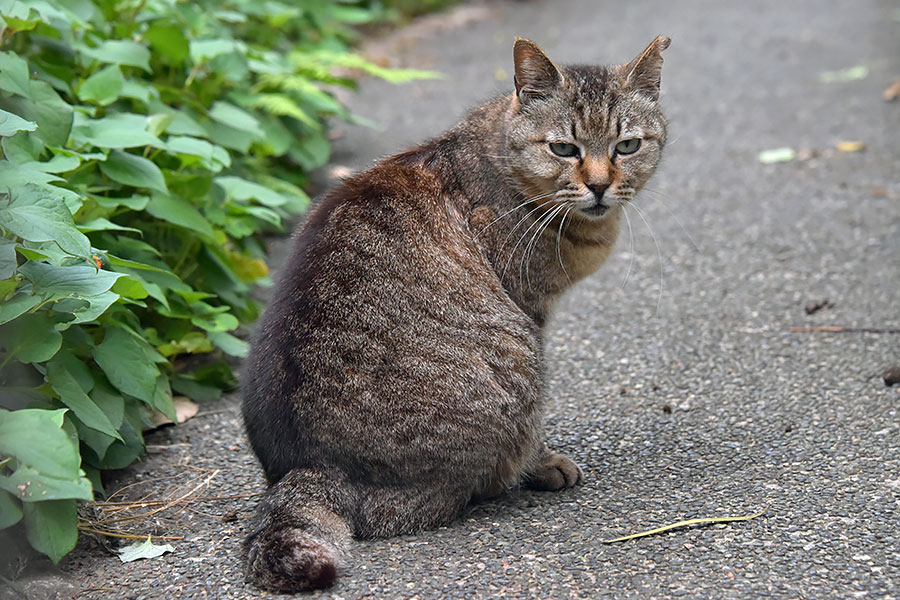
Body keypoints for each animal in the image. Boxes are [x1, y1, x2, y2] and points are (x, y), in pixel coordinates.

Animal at [239, 34, 668, 592]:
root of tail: (311, 465)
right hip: (517, 362)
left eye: (626, 146)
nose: (599, 185)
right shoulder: (529, 310)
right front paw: (544, 463)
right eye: (563, 149)